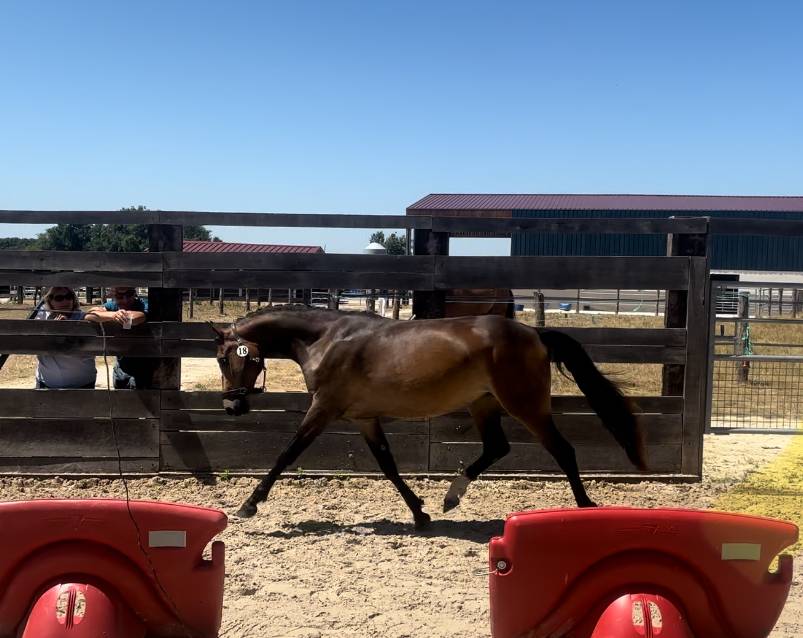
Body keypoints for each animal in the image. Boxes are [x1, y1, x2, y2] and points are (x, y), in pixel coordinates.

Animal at [211, 306, 646, 527]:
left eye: (223, 358)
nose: (233, 407)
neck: (326, 339)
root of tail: (535, 334)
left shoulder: (324, 408)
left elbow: (286, 455)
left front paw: (249, 505)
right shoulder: (363, 418)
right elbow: (387, 464)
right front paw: (419, 512)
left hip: (525, 405)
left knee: (563, 449)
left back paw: (585, 507)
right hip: (483, 403)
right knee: (497, 447)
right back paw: (451, 498)